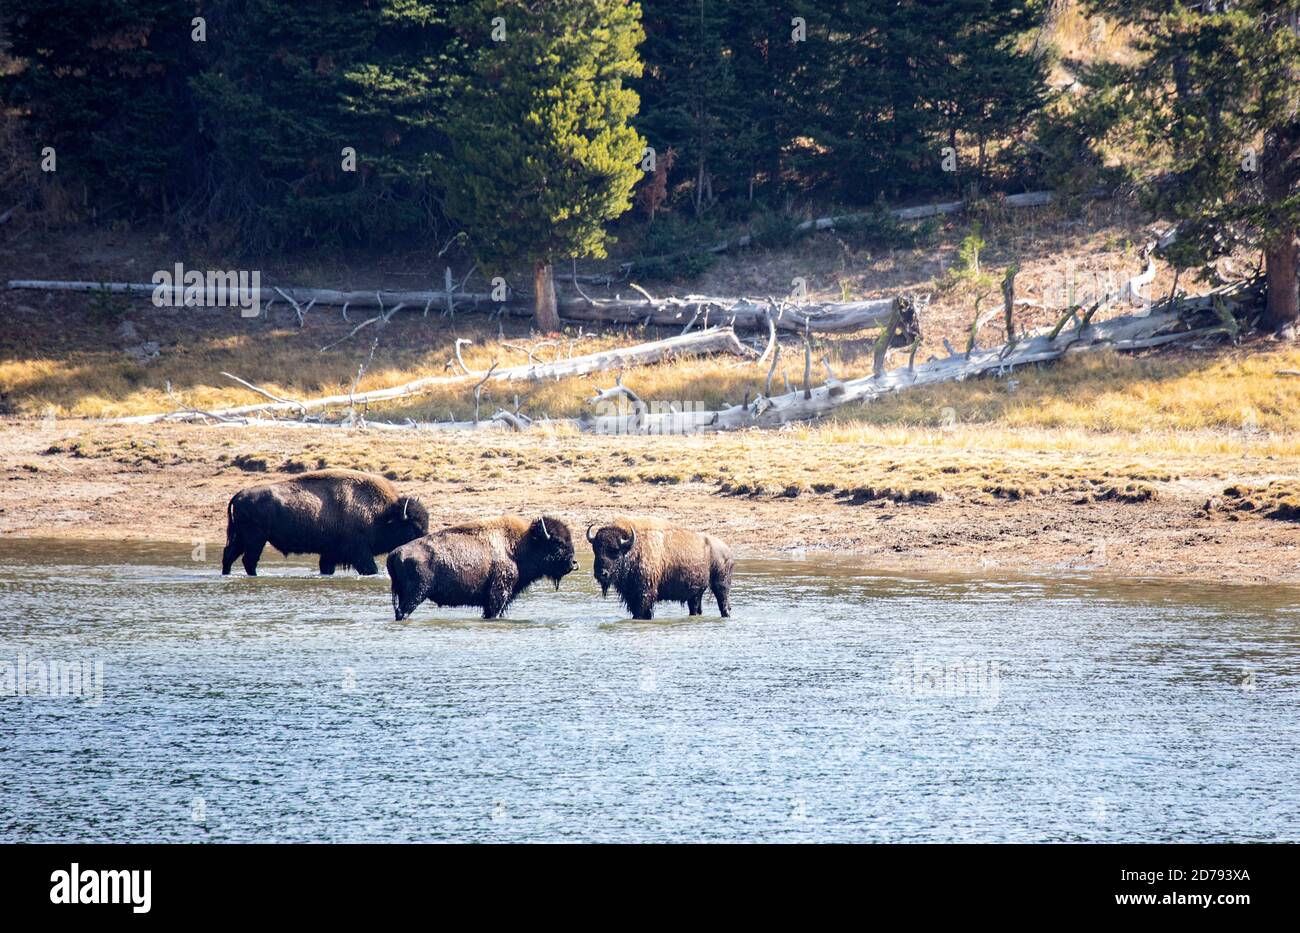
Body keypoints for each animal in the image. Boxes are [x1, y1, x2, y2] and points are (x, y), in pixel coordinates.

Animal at [222, 469, 428, 576]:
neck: (384, 515)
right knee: (248, 560)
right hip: (255, 539)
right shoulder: (360, 552)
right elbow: (370, 568)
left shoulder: (330, 553)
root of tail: (239, 495)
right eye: (413, 528)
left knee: (229, 556)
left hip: (242, 538)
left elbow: (326, 567)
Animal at [387, 515, 577, 620]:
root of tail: (395, 553)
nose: (574, 563)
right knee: (403, 612)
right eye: (558, 543)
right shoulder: (497, 596)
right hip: (415, 594)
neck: (519, 545)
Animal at [587, 517, 733, 619]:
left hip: (720, 584)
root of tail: (727, 550)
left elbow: (640, 613)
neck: (634, 548)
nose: (601, 573)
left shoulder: (645, 594)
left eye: (615, 551)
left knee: (723, 604)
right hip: (696, 593)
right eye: (596, 549)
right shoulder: (630, 595)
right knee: (696, 608)